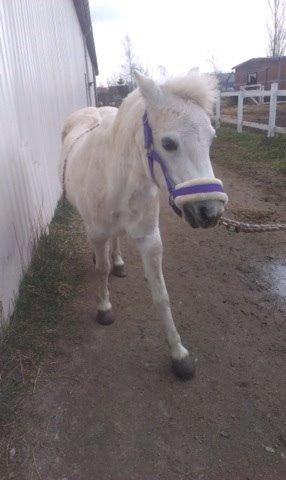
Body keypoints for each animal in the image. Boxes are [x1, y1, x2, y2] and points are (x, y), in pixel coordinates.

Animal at [59, 73, 228, 378]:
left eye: (211, 139)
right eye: (169, 143)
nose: (210, 212)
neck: (116, 177)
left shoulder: (150, 240)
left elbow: (161, 295)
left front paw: (178, 353)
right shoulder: (98, 234)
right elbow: (101, 271)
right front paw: (104, 309)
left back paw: (119, 262)